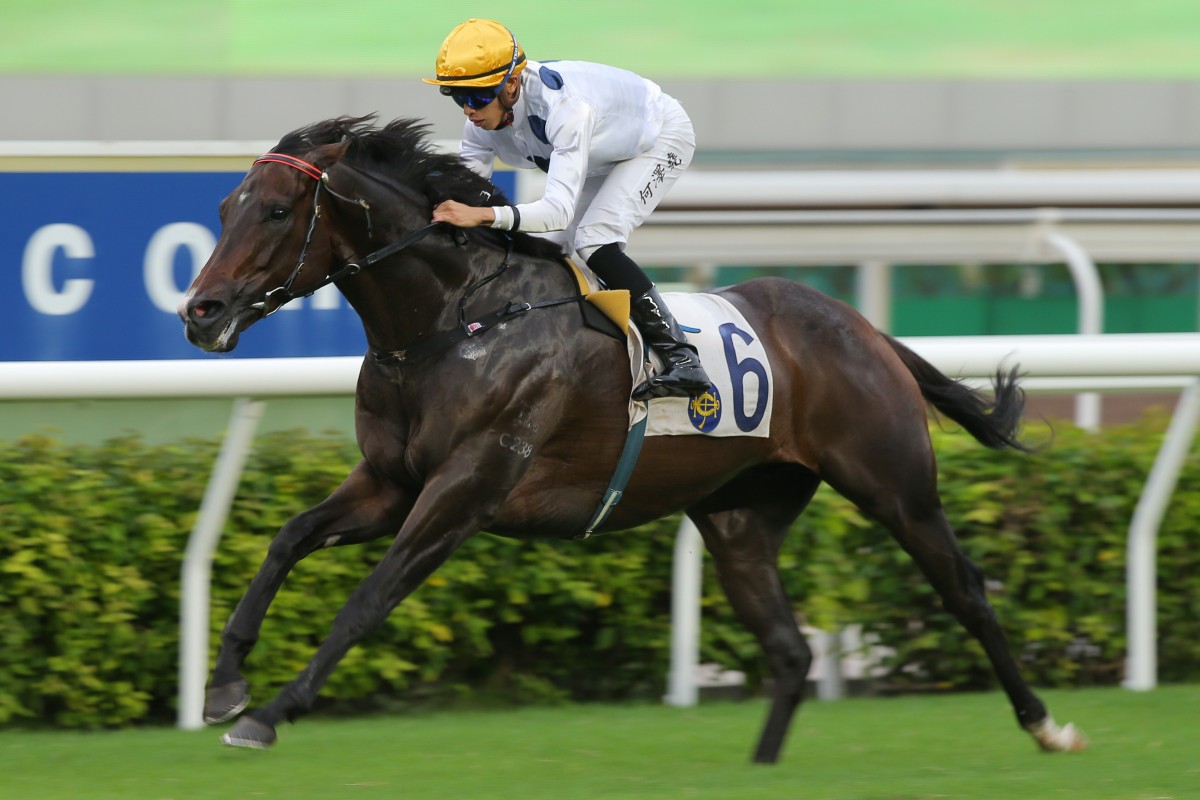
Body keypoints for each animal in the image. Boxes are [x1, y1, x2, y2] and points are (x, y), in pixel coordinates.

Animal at [177, 115, 1089, 762]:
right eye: (222, 208)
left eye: (277, 210)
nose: (200, 311)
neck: (454, 318)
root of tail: (862, 328)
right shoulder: (391, 481)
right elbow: (287, 539)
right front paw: (224, 685)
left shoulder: (466, 488)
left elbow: (369, 598)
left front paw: (271, 713)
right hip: (738, 519)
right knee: (791, 649)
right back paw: (759, 768)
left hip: (894, 484)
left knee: (965, 590)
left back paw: (1048, 725)